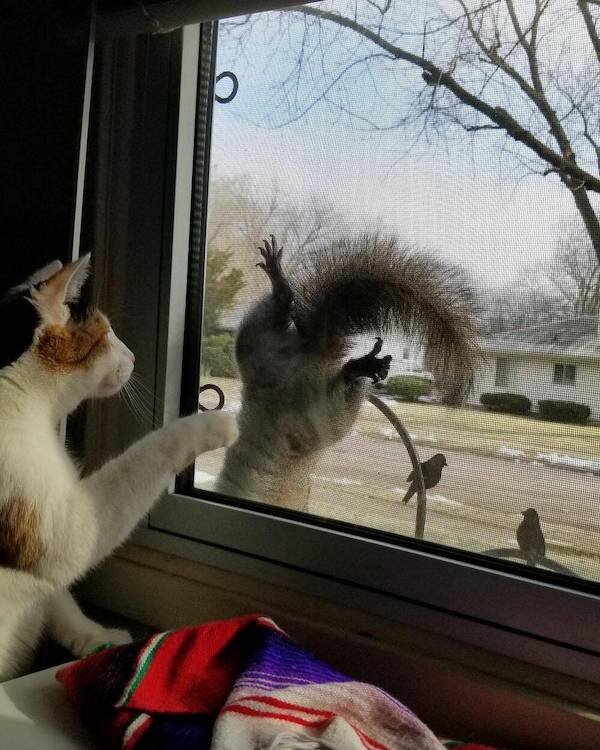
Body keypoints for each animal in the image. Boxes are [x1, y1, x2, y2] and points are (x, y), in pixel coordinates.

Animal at [0, 254, 238, 680]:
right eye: (108, 333)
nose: (133, 356)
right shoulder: (60, 529)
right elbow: (146, 455)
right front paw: (212, 423)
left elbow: (58, 596)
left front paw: (96, 639)